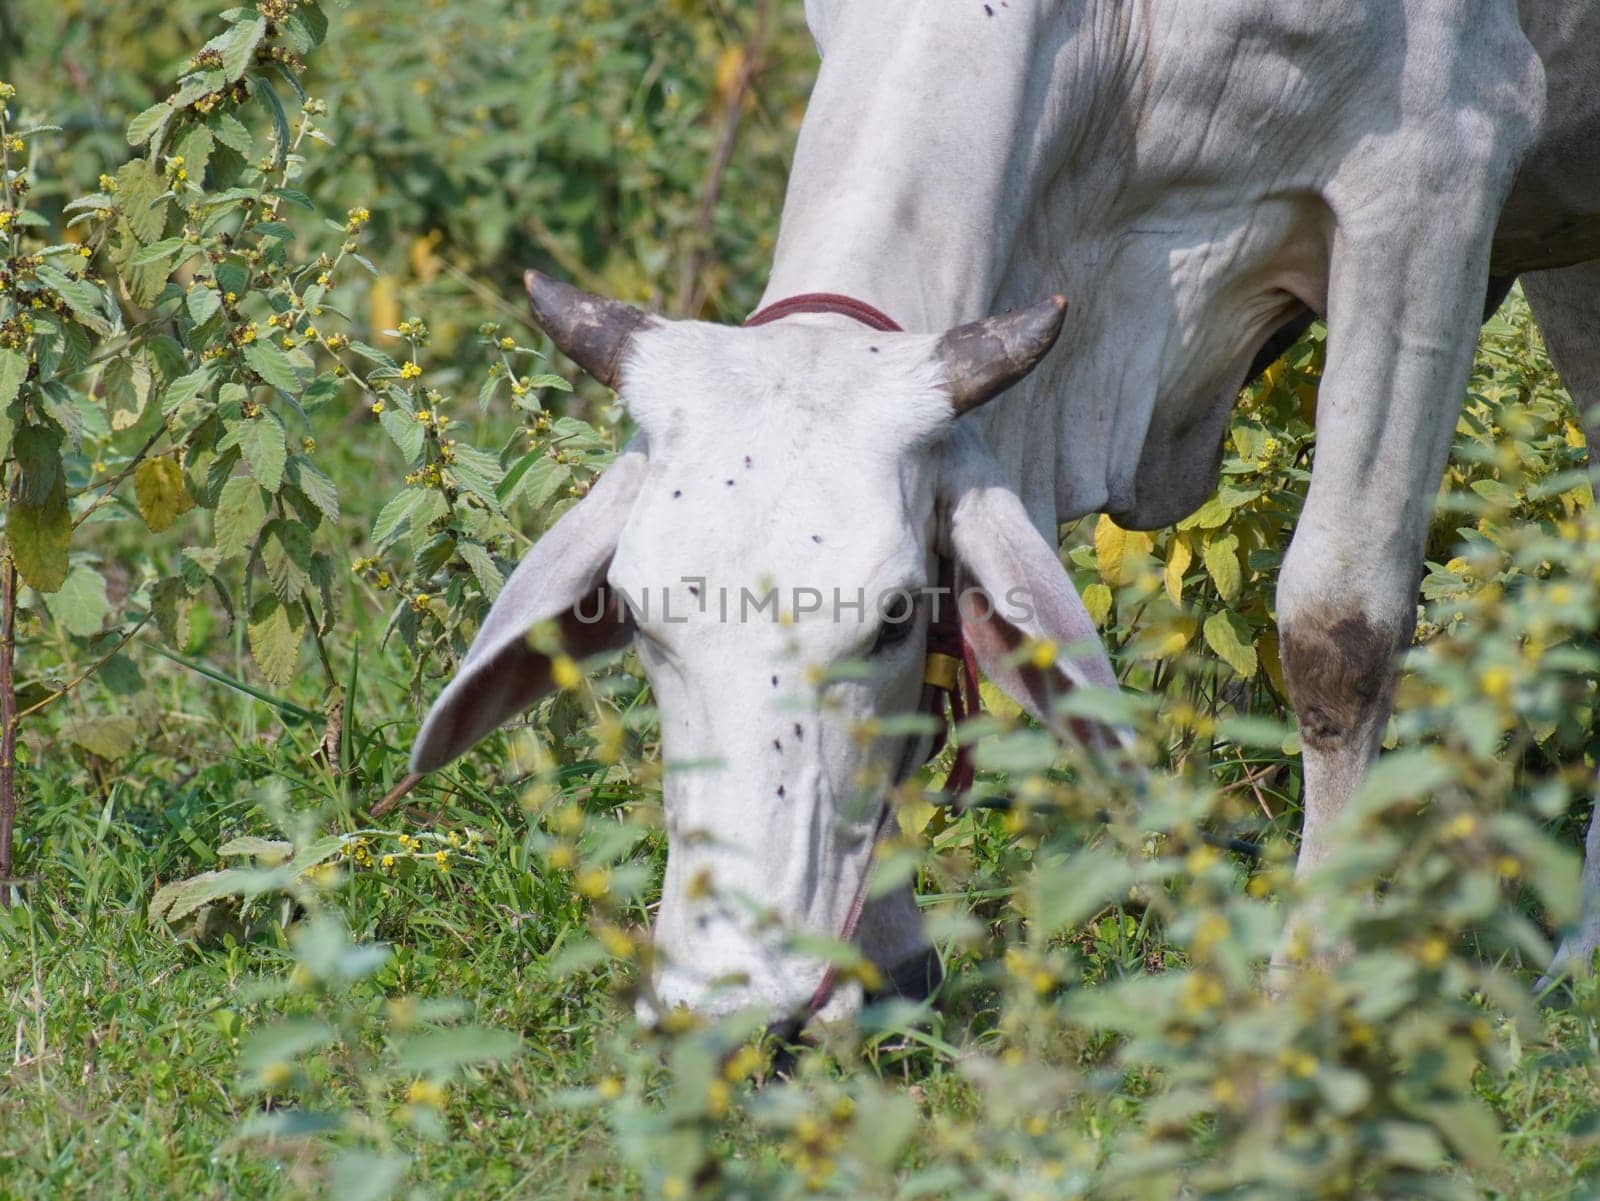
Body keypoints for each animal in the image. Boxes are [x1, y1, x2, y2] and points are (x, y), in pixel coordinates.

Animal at [412, 0, 1600, 1017]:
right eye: (643, 623)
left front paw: (1312, 984)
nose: (733, 1000)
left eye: (889, 619)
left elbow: (1337, 631)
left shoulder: (1435, 168)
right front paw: (888, 960)